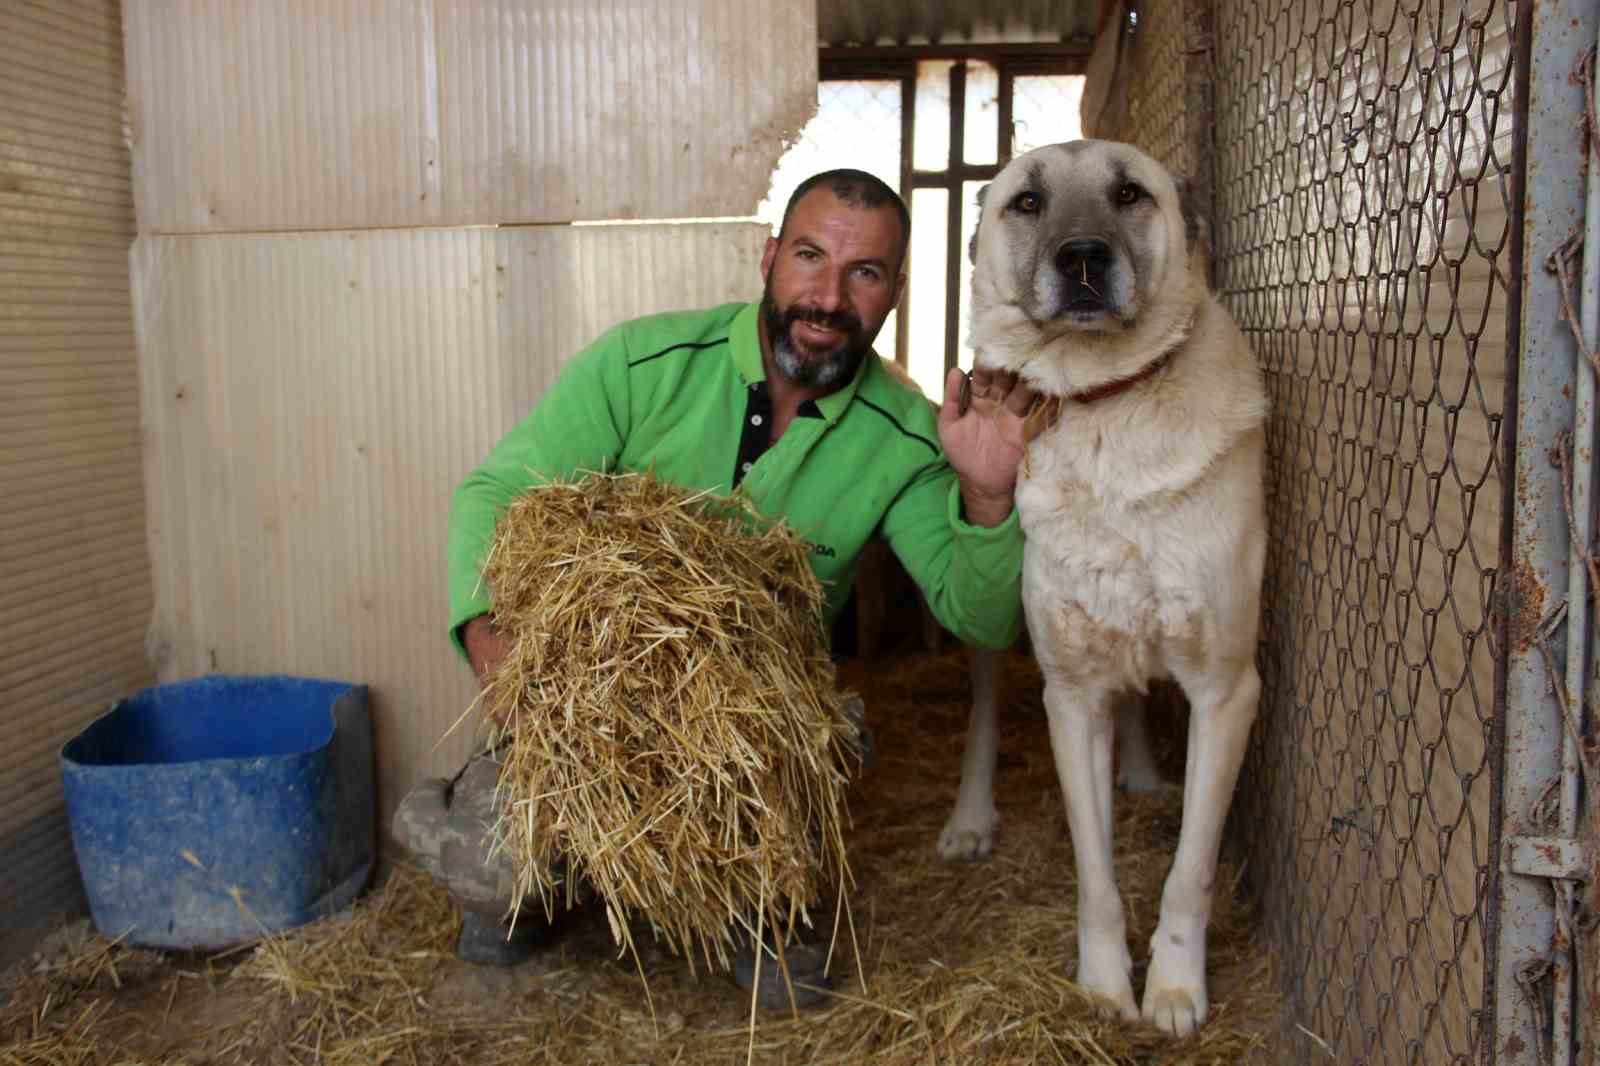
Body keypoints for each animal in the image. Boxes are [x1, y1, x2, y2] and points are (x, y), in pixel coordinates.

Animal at [934, 140, 1260, 1030]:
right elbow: (1096, 878)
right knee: (983, 710)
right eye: (1027, 202)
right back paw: (971, 818)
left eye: (1128, 194)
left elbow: (1190, 872)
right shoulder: (1071, 697)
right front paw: (1105, 990)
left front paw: (1175, 988)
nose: (1083, 257)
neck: (1108, 404)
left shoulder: (1226, 690)